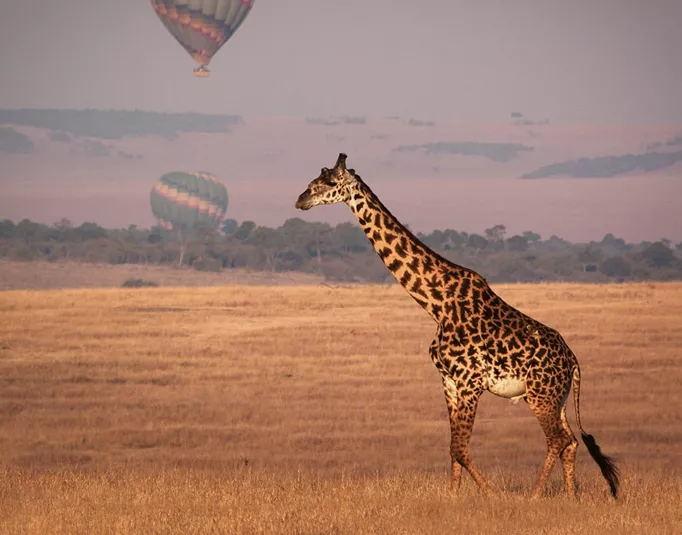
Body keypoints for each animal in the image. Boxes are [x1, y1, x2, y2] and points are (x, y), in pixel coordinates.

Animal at [295, 153, 620, 500]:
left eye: (329, 182)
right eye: (314, 179)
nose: (301, 200)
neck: (436, 304)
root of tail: (573, 361)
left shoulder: (469, 382)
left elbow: (461, 449)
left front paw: (492, 494)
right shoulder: (449, 382)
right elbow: (453, 449)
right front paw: (453, 496)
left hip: (539, 395)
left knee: (558, 439)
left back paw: (533, 496)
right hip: (556, 398)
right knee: (570, 441)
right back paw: (571, 496)